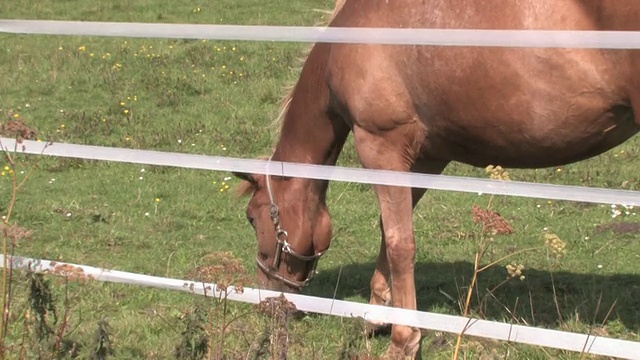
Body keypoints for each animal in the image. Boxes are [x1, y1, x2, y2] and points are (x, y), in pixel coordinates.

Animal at [234, 1, 640, 358]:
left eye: (253, 218)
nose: (266, 303)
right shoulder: (427, 157)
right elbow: (389, 230)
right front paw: (377, 316)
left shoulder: (380, 145)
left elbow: (400, 244)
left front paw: (403, 341)